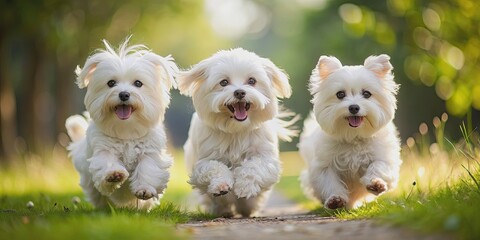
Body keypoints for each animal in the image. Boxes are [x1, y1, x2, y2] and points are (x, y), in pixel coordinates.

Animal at [65, 39, 178, 210]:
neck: (126, 131)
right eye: (111, 83)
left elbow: (148, 168)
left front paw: (144, 189)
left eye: (138, 83)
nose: (124, 94)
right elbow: (107, 162)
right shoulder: (103, 149)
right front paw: (114, 174)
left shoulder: (150, 151)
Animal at [176, 48, 296, 218]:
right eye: (224, 82)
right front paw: (221, 185)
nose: (239, 92)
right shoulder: (203, 161)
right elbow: (214, 167)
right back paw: (224, 210)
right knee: (217, 201)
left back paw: (247, 208)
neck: (236, 129)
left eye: (252, 81)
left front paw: (245, 186)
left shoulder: (265, 157)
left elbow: (254, 167)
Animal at [300, 55, 402, 209]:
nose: (354, 107)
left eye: (366, 94)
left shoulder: (384, 156)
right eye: (340, 94)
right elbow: (329, 181)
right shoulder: (323, 165)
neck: (354, 136)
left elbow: (378, 166)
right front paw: (335, 199)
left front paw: (376, 183)